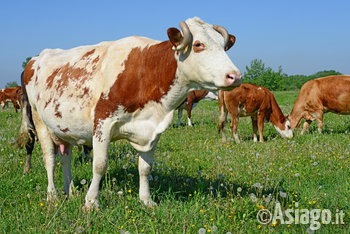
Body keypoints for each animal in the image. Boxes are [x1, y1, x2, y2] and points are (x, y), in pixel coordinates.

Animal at [17, 17, 242, 209]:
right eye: (198, 45)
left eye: (223, 46)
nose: (235, 76)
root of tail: (36, 58)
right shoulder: (103, 122)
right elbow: (100, 165)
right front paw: (91, 203)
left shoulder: (153, 130)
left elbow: (145, 168)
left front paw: (146, 200)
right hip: (39, 121)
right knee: (49, 158)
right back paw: (52, 195)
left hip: (64, 128)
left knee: (65, 158)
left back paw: (70, 191)